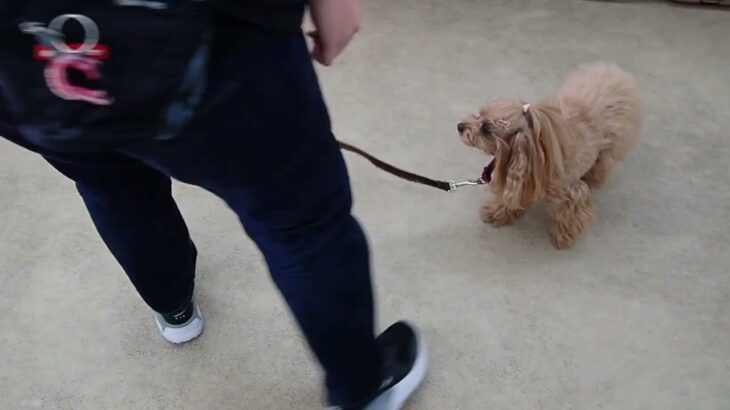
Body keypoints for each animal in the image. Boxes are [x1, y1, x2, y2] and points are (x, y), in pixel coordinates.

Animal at [458, 60, 640, 247]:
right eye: (479, 115)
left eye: (486, 129)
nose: (460, 126)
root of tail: (613, 72)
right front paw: (497, 213)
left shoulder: (571, 191)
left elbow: (570, 212)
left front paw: (564, 236)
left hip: (610, 149)